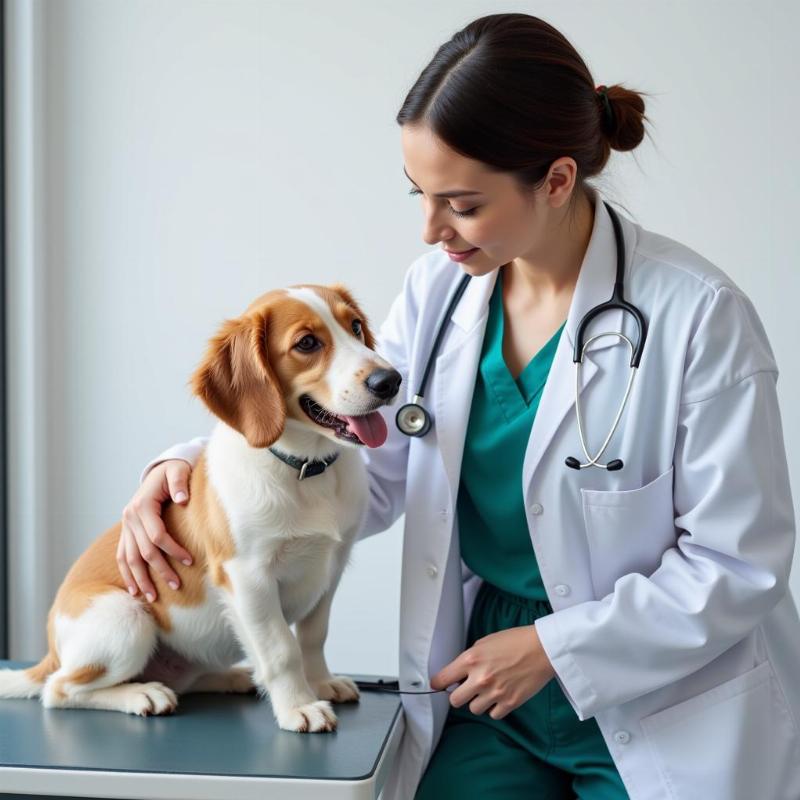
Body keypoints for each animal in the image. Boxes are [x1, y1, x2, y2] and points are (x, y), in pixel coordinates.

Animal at [0, 284, 400, 736]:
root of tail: (50, 652)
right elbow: (282, 649)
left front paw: (320, 684)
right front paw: (299, 707)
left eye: (355, 326)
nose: (391, 380)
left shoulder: (330, 570)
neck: (304, 469)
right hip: (125, 618)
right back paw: (142, 694)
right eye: (307, 343)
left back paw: (231, 677)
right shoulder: (249, 577)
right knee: (59, 690)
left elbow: (313, 638)